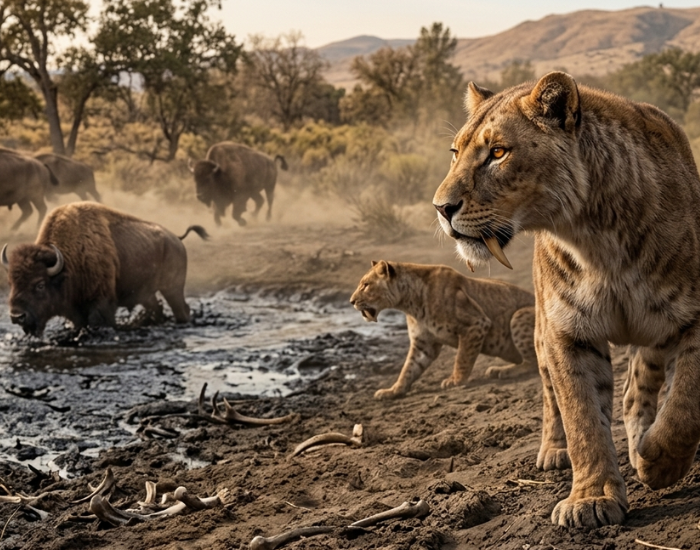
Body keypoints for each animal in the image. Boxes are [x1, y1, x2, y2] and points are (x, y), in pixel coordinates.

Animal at [2, 202, 208, 336]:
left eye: (40, 285)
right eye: (11, 283)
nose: (17, 316)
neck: (68, 264)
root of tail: (176, 238)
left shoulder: (101, 304)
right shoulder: (75, 312)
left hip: (173, 288)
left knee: (182, 310)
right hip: (146, 293)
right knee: (157, 308)